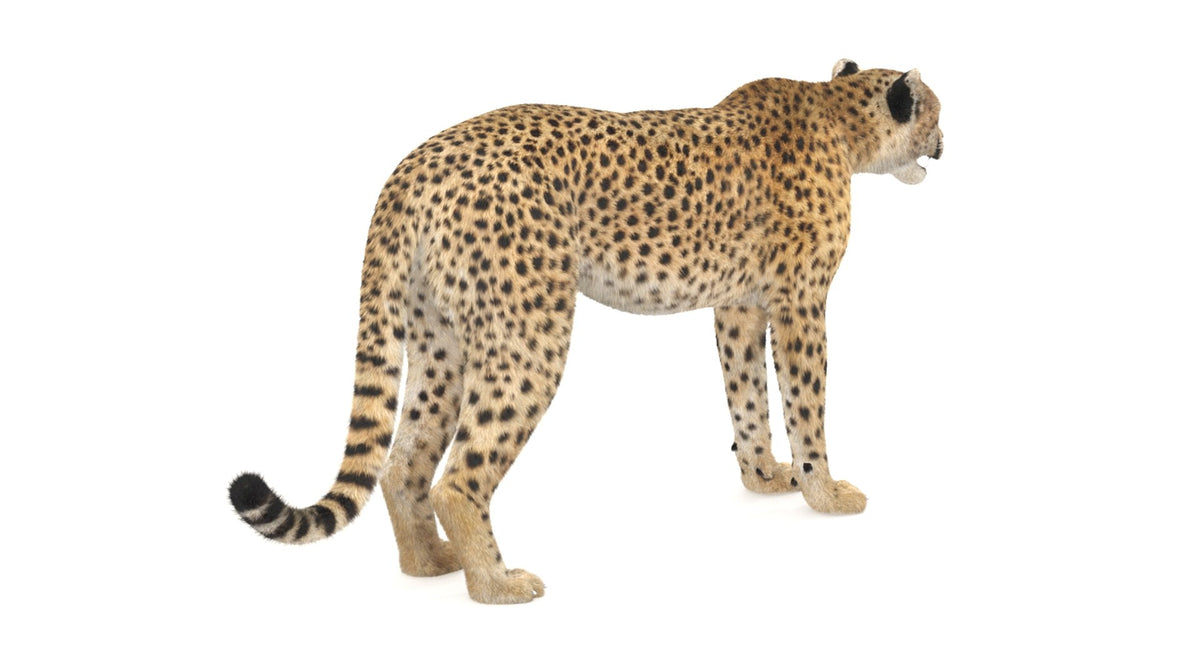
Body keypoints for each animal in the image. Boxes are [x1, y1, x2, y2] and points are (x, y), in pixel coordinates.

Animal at [229, 59, 943, 604]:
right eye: (935, 115)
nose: (944, 143)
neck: (838, 116)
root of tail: (419, 159)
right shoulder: (800, 302)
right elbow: (805, 405)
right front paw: (825, 491)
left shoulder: (738, 306)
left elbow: (745, 397)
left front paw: (765, 477)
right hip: (528, 334)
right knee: (458, 475)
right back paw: (496, 584)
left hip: (441, 340)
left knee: (403, 458)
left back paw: (428, 563)